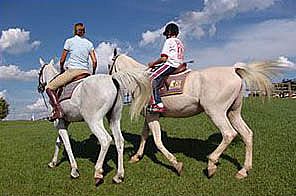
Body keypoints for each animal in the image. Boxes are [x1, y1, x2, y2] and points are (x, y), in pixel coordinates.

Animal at [37, 57, 150, 185]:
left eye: (39, 72)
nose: (39, 88)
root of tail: (112, 79)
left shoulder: (58, 123)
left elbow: (67, 144)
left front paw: (74, 170)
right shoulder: (64, 123)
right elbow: (58, 142)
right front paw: (53, 162)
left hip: (93, 121)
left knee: (105, 140)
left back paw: (98, 172)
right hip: (114, 119)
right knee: (119, 141)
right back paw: (119, 176)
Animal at [107, 52, 284, 179]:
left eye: (109, 65)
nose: (109, 79)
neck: (141, 82)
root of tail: (233, 70)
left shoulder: (152, 117)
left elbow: (157, 141)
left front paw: (176, 164)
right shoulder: (151, 115)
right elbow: (144, 135)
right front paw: (136, 156)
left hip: (216, 112)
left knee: (229, 134)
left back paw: (212, 164)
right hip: (233, 113)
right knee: (247, 134)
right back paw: (243, 170)